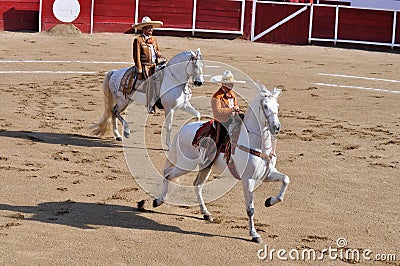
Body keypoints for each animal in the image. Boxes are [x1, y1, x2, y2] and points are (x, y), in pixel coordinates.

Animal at [148, 84, 290, 243]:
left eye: (277, 106)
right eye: (265, 106)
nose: (276, 127)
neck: (258, 144)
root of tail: (183, 129)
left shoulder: (266, 174)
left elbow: (285, 180)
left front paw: (270, 201)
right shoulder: (248, 179)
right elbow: (250, 209)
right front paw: (254, 234)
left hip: (205, 166)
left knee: (197, 185)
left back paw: (205, 213)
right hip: (186, 165)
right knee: (168, 174)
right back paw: (158, 201)